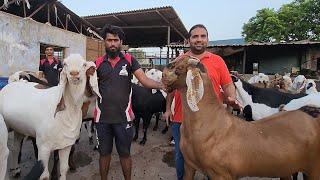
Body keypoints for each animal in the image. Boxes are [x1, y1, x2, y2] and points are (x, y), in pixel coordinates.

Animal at [162, 54, 320, 180]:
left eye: (178, 66)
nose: (163, 73)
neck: (210, 121)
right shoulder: (189, 165)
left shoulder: (221, 174)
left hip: (314, 169)